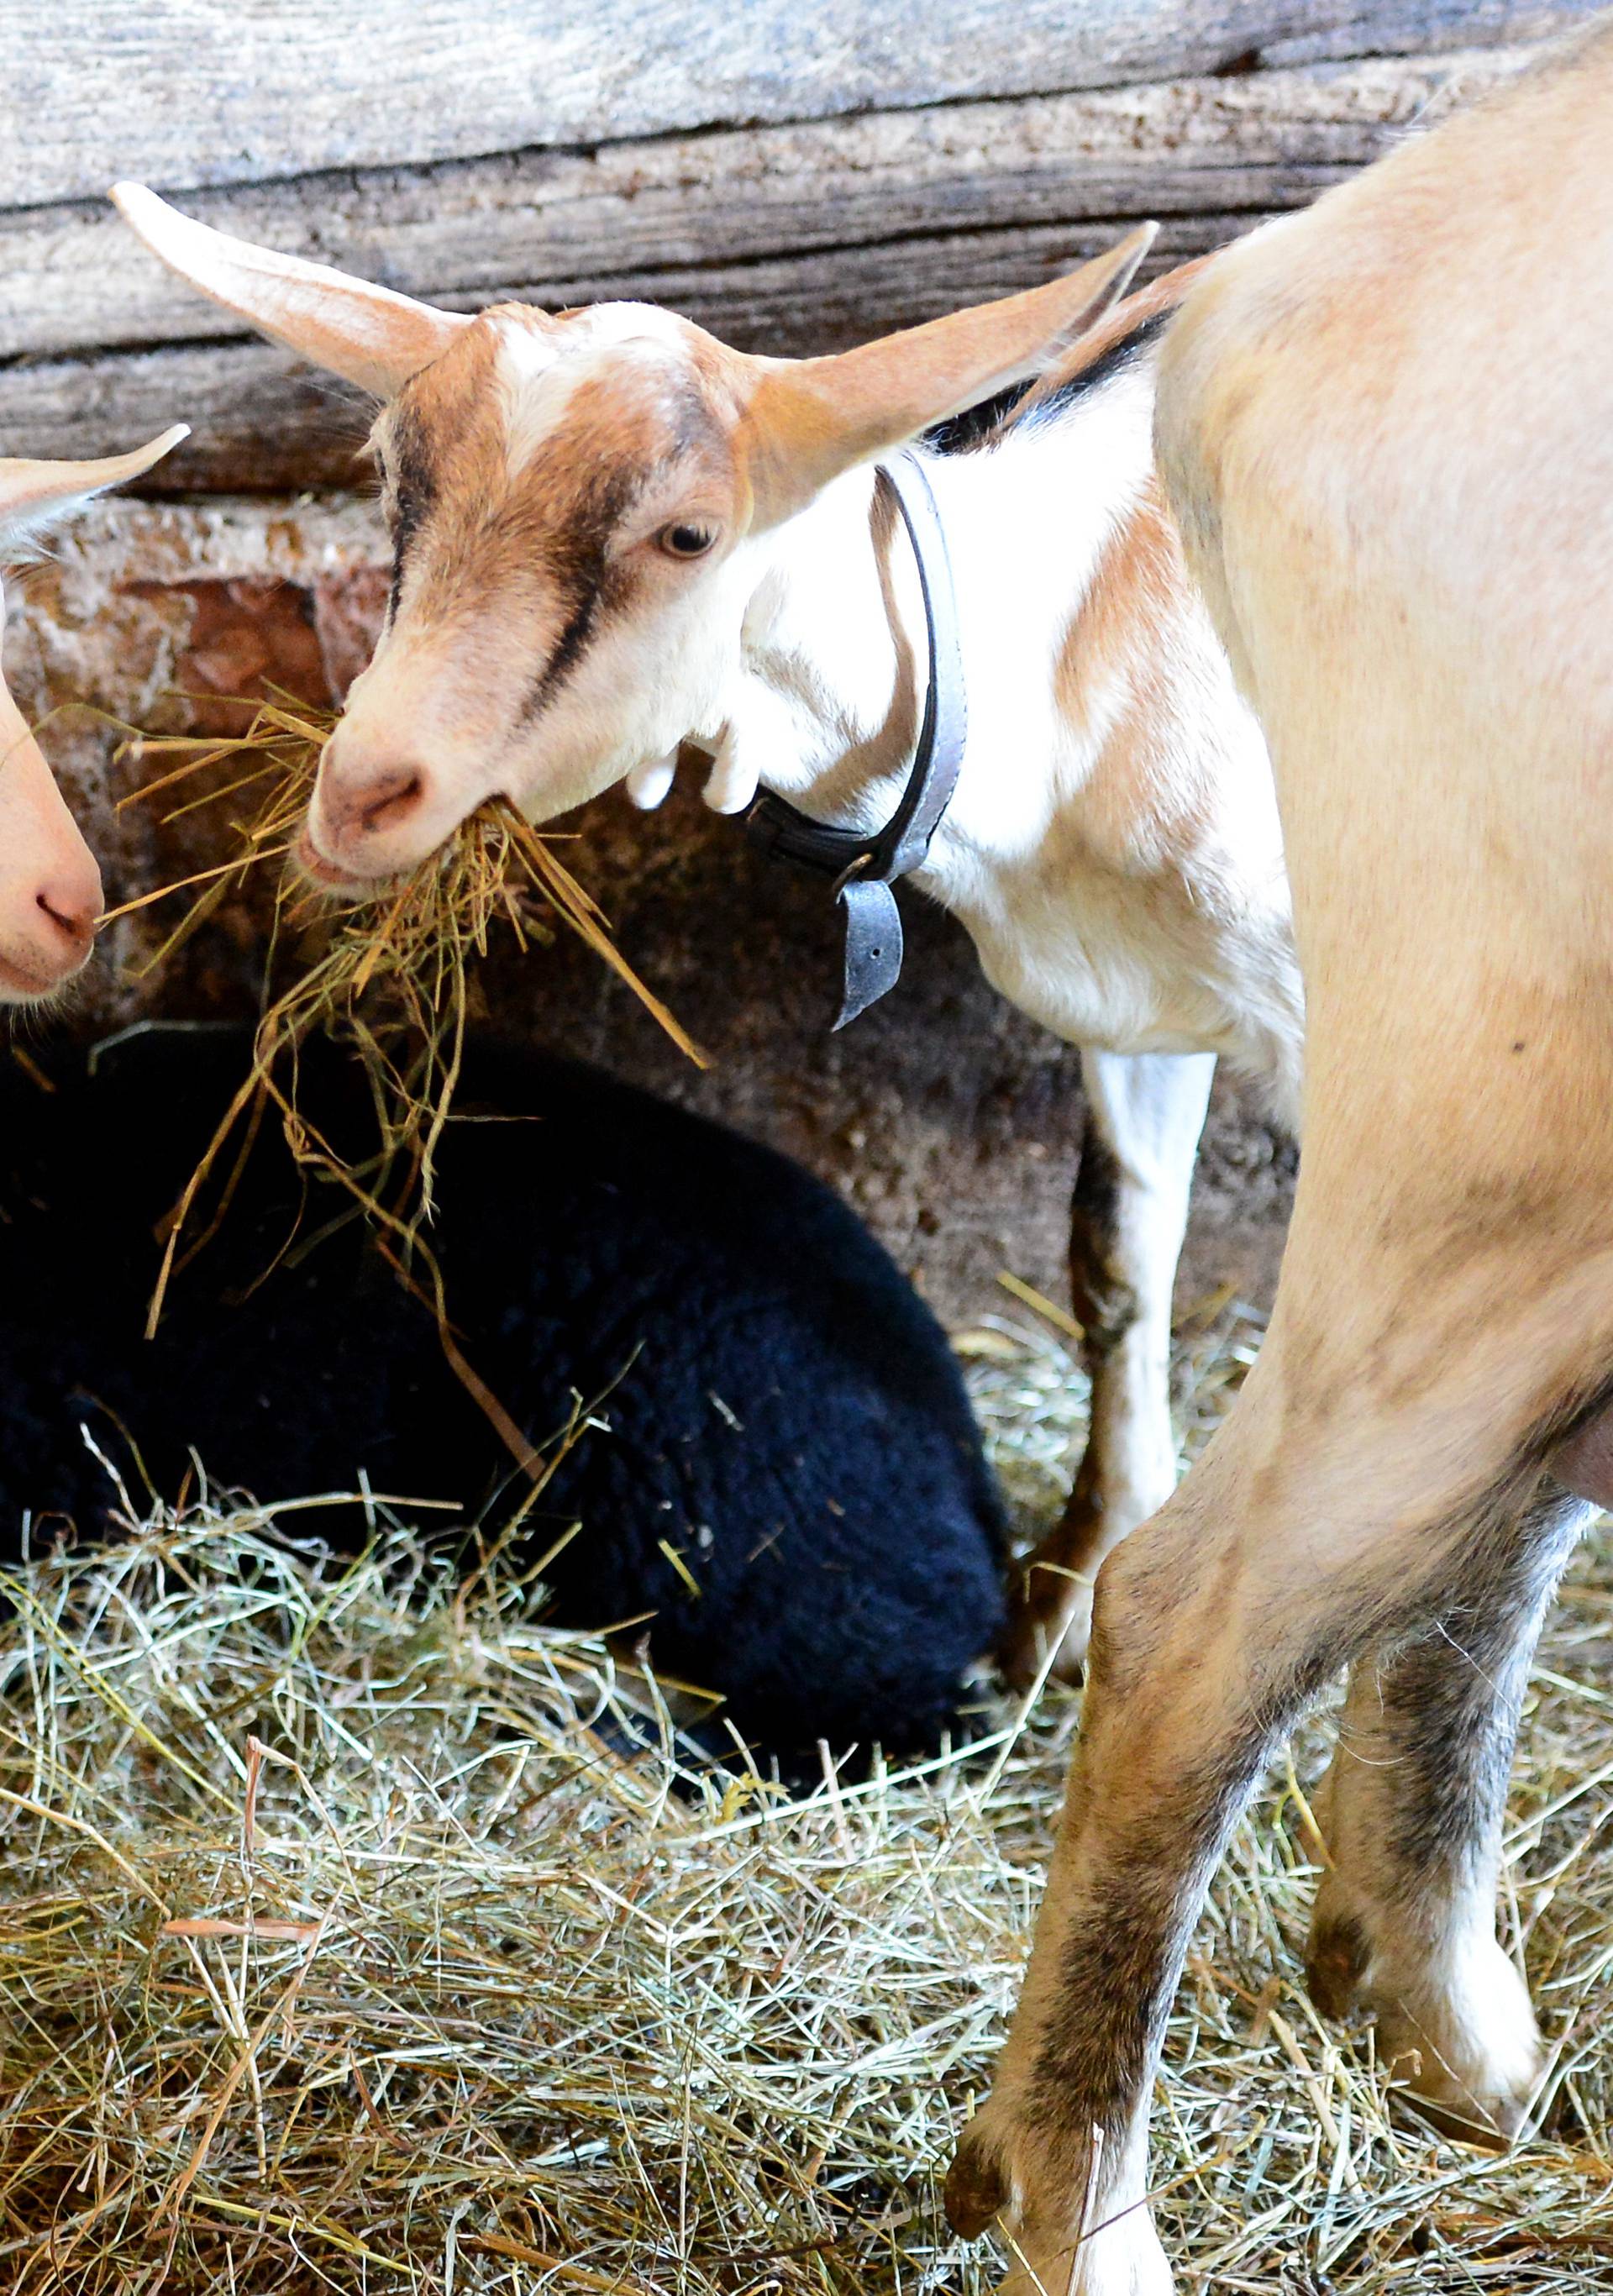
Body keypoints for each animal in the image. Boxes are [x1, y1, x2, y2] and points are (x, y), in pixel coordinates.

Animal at [110, 183, 1303, 1689]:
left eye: (685, 535)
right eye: (393, 479)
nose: (363, 792)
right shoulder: (1144, 1000)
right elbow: (1121, 1262)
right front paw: (1072, 1604)